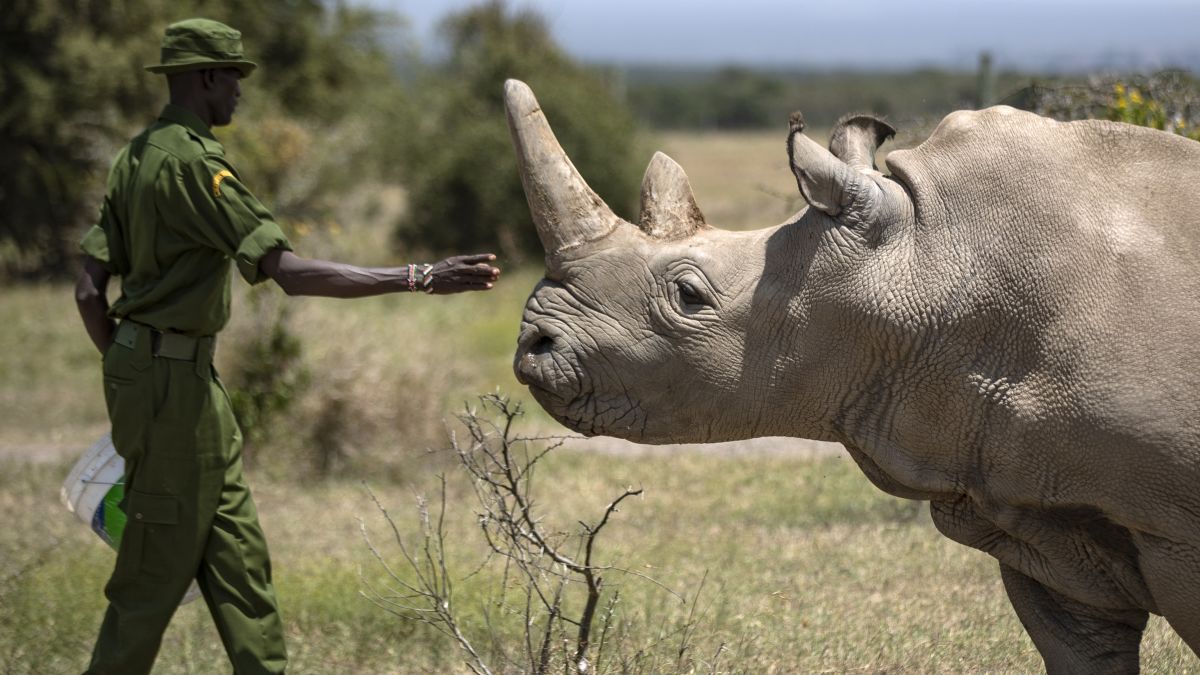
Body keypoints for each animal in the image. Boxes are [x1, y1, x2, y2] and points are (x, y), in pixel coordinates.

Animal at [504, 77, 1200, 667]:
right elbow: (1079, 649)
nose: (534, 341)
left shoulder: (1175, 530)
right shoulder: (1038, 514)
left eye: (689, 297)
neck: (924, 261)